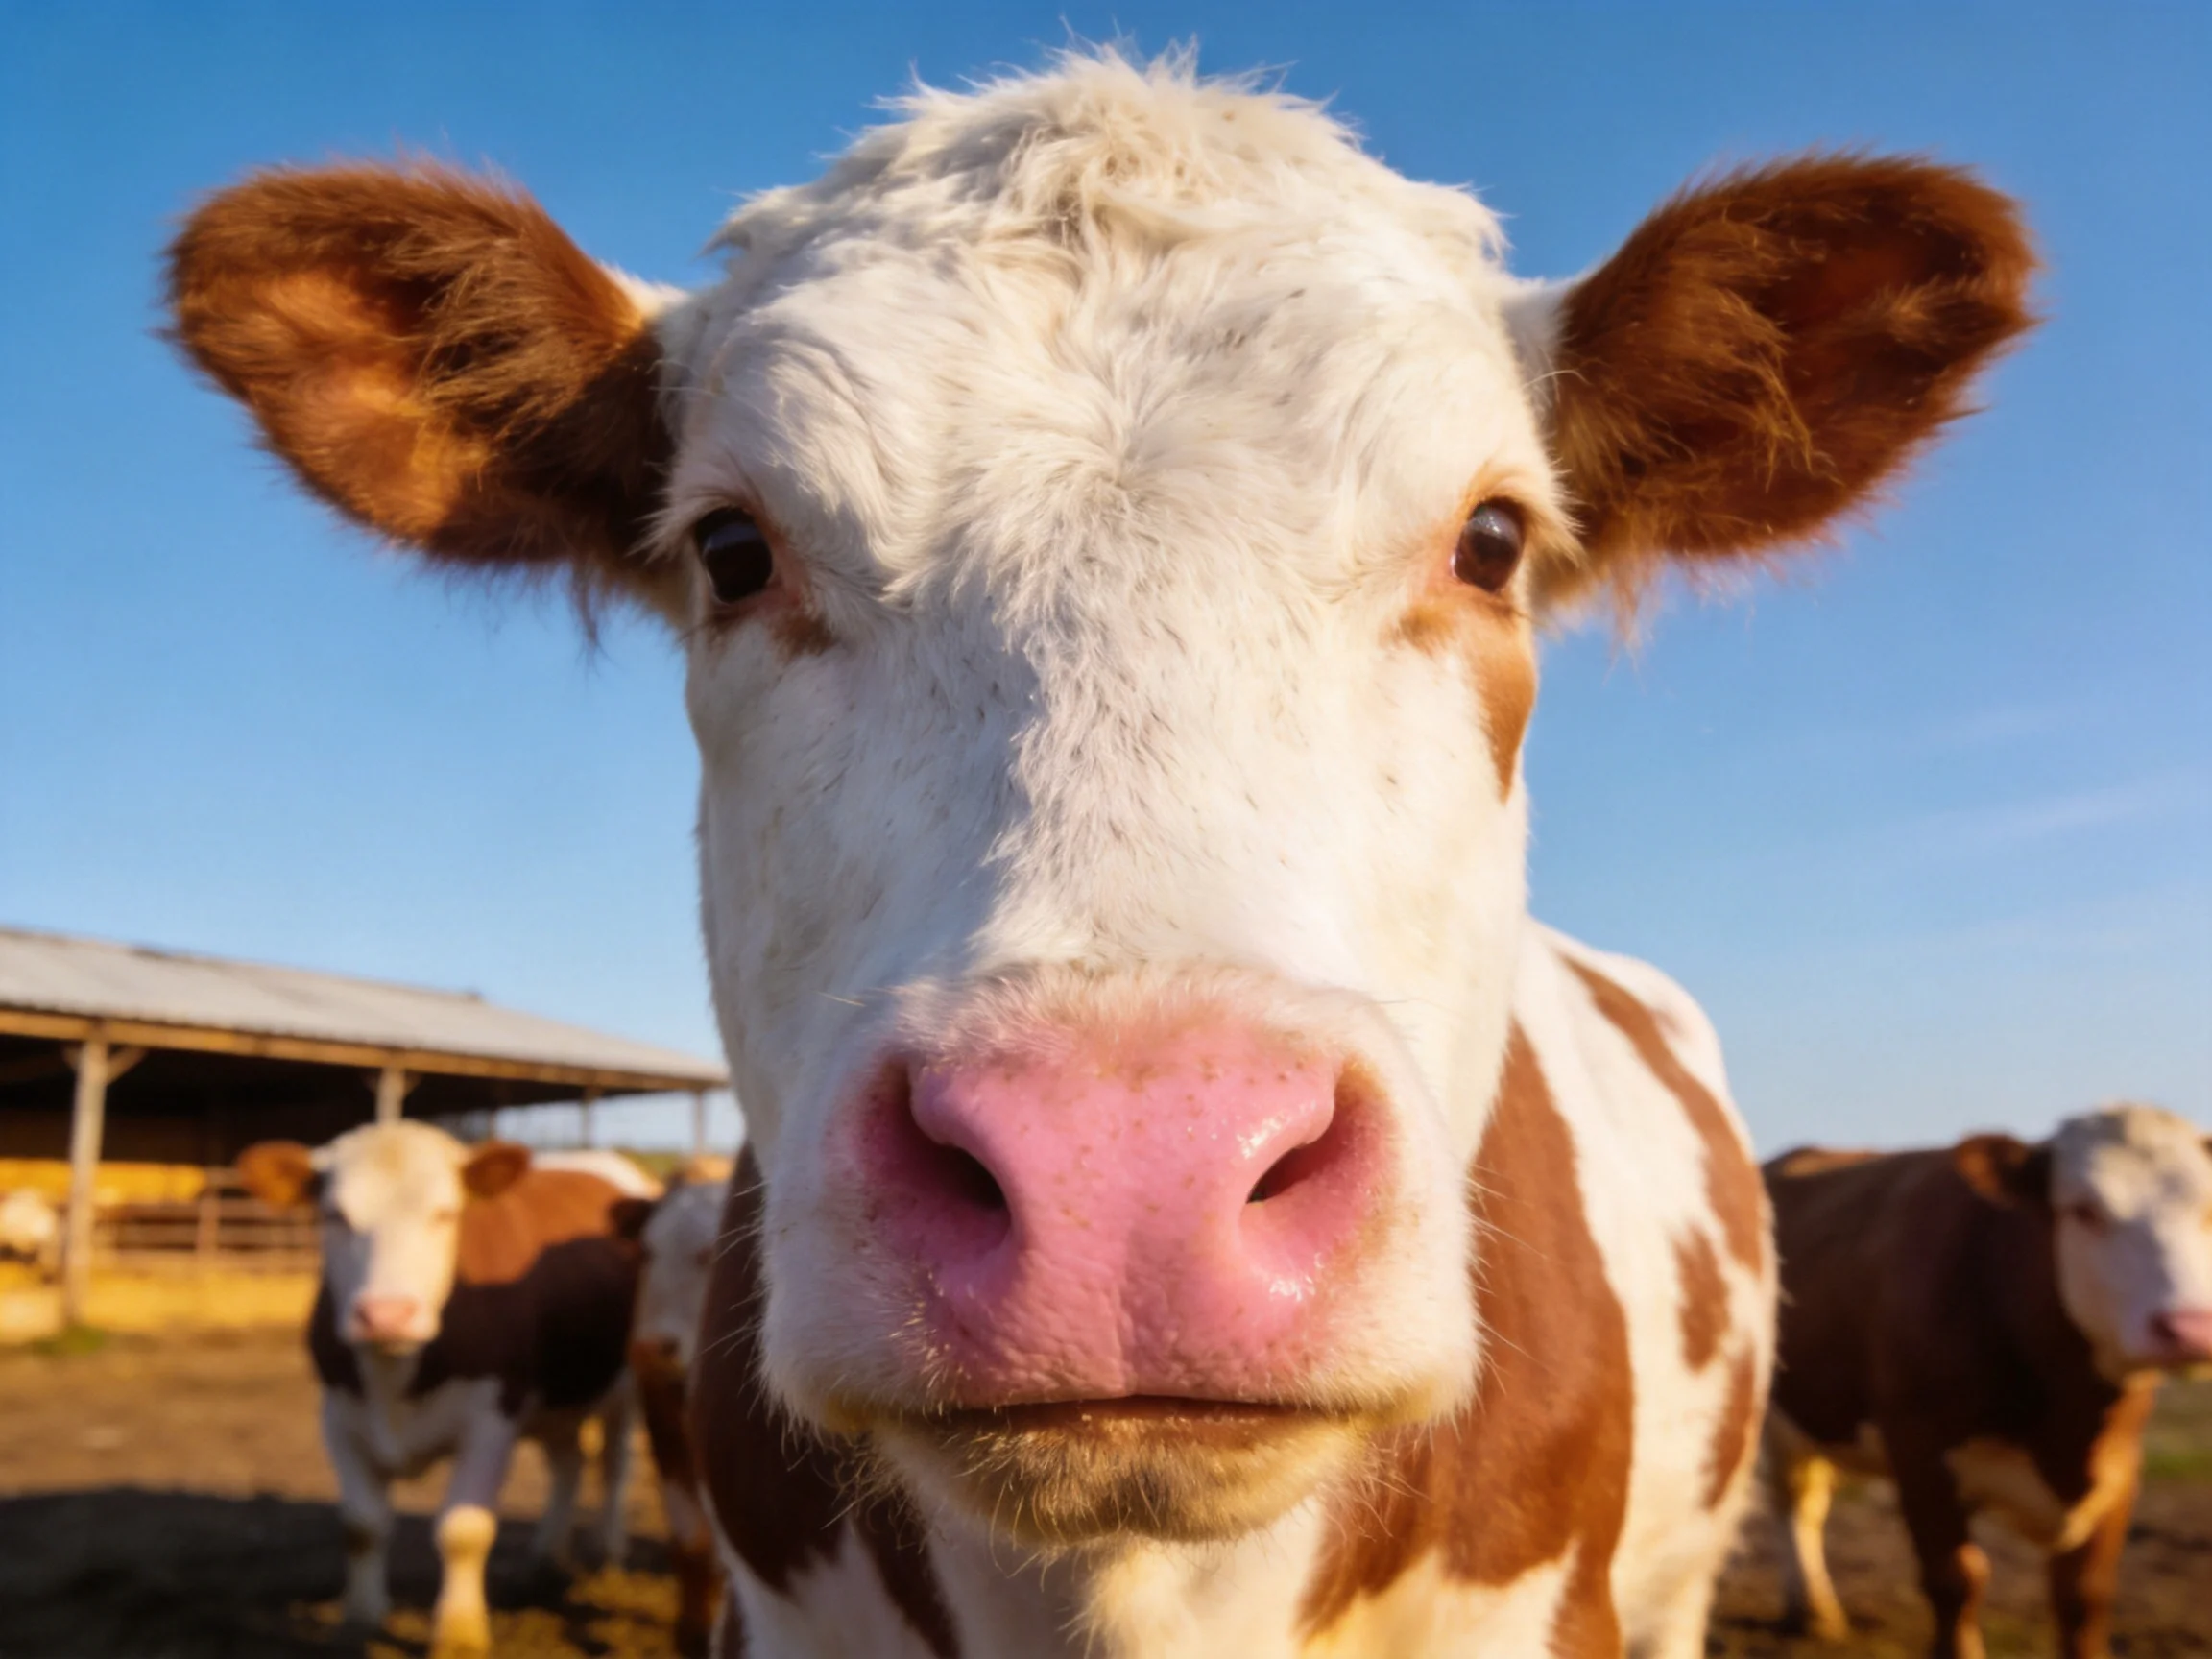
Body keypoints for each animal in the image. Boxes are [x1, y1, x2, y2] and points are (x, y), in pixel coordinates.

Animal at [235, 1124, 650, 1658]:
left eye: (446, 1214)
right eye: (334, 1215)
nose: (386, 1314)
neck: (394, 1373)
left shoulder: (492, 1420)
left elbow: (462, 1530)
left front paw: (459, 1633)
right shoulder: (338, 1416)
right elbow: (362, 1525)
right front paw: (359, 1619)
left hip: (627, 1390)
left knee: (614, 1466)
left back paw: (608, 1555)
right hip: (559, 1399)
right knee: (568, 1463)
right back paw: (544, 1558)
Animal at [1762, 1104, 2212, 1659]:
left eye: (2208, 1209)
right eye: (2085, 1210)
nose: (2188, 1328)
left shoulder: (2120, 1466)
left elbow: (2083, 1595)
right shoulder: (1918, 1448)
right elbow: (1956, 1578)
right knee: (1792, 1503)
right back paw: (1809, 1610)